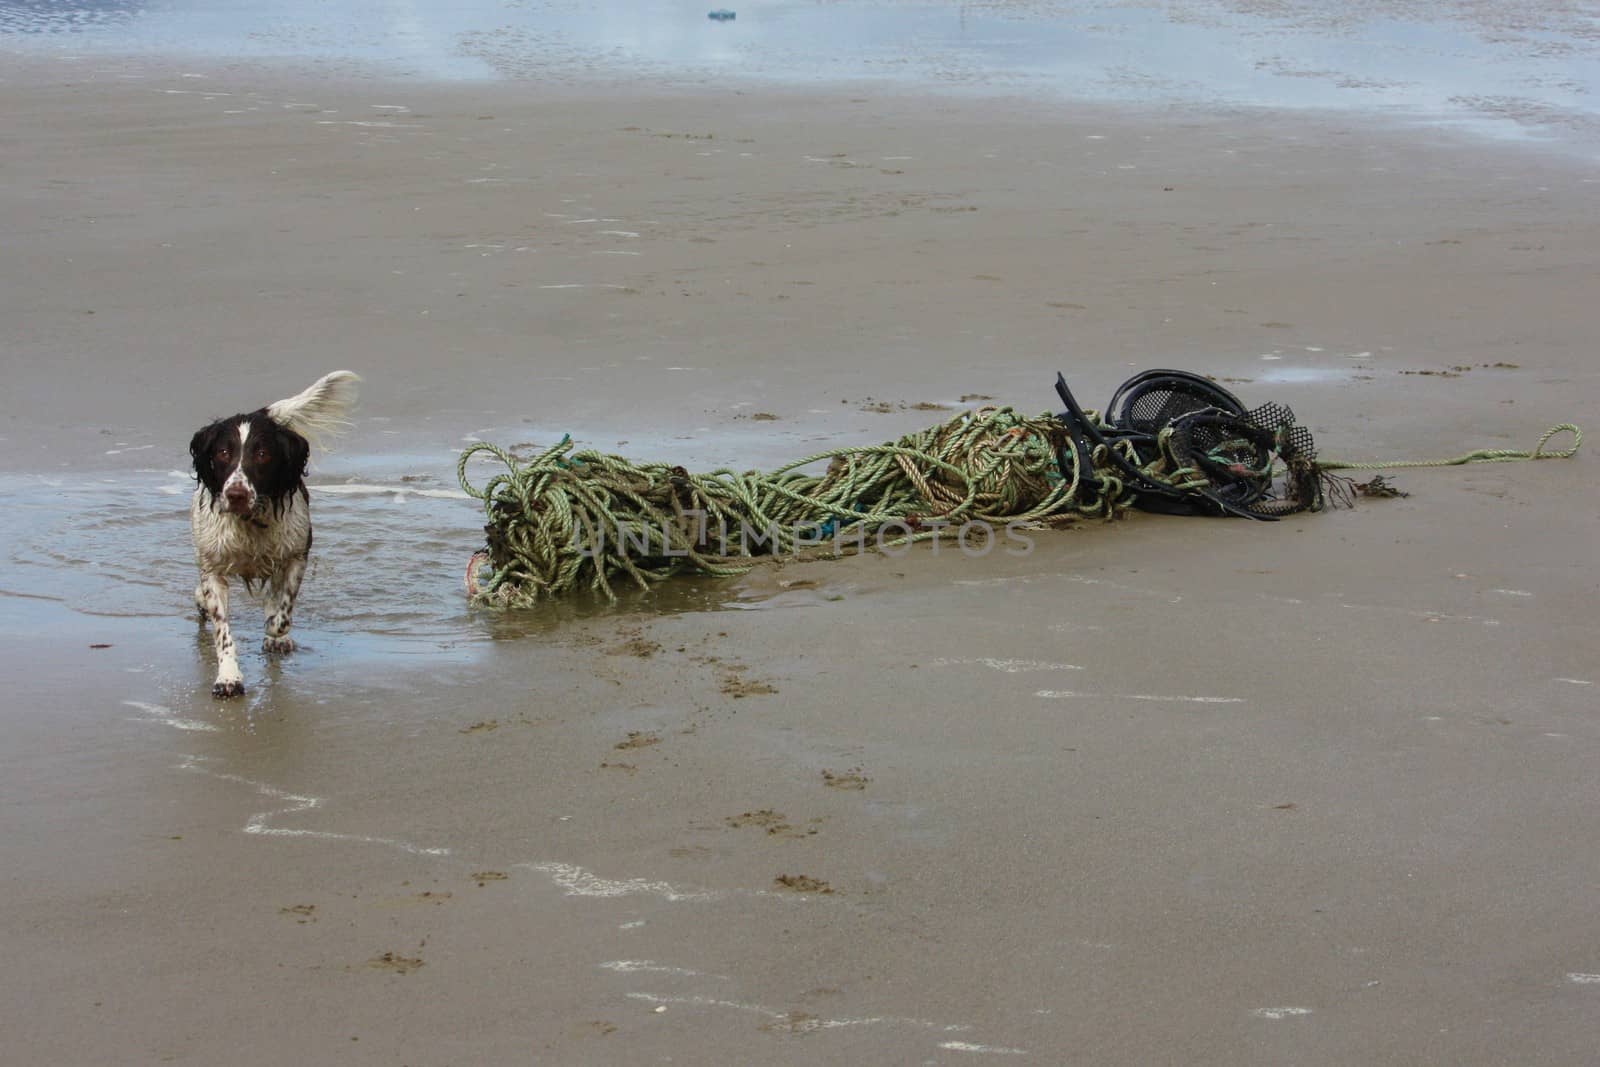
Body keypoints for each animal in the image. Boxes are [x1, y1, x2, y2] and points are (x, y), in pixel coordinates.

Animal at [187, 371, 360, 697]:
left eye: (263, 454)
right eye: (223, 452)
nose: (237, 495)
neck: (250, 521)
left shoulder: (296, 555)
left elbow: (282, 612)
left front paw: (274, 632)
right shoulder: (213, 568)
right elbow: (222, 630)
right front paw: (229, 677)